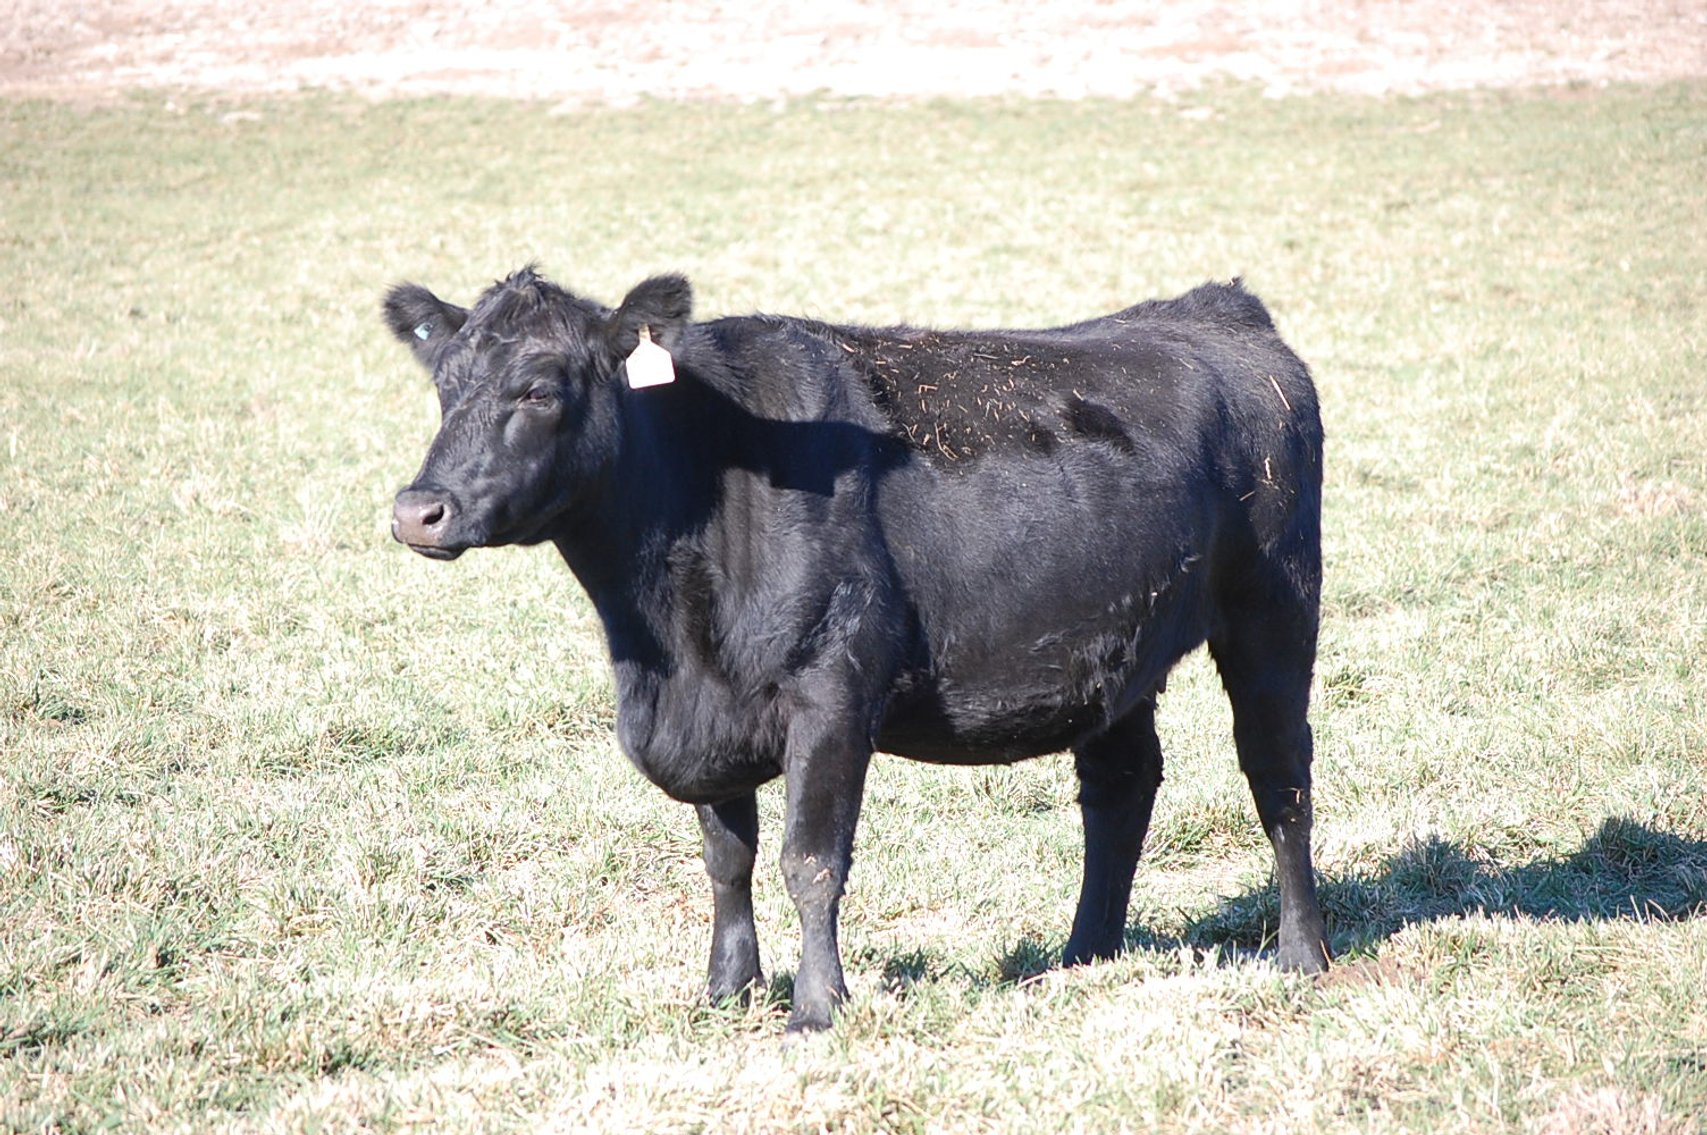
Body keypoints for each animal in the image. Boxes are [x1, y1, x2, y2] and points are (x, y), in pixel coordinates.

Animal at [385, 267, 1330, 1032]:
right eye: (445, 386)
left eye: (540, 389)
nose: (417, 510)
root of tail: (1218, 309)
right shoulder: (711, 715)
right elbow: (726, 858)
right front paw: (726, 990)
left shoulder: (832, 693)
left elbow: (809, 859)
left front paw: (815, 1006)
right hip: (1116, 651)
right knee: (1120, 789)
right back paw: (1082, 953)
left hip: (1274, 609)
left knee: (1277, 776)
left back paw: (1302, 955)